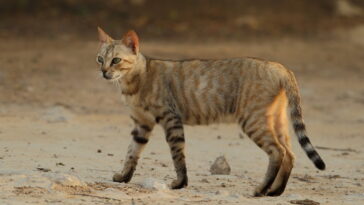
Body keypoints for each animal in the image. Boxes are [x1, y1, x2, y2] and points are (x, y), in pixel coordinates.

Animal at [95, 27, 326, 195]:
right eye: (99, 59)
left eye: (116, 60)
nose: (104, 72)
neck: (133, 83)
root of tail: (280, 66)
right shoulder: (141, 124)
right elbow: (131, 153)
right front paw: (123, 177)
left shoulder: (171, 119)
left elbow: (177, 155)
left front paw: (180, 183)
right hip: (277, 120)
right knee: (290, 154)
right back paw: (275, 191)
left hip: (253, 120)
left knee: (278, 152)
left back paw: (260, 190)